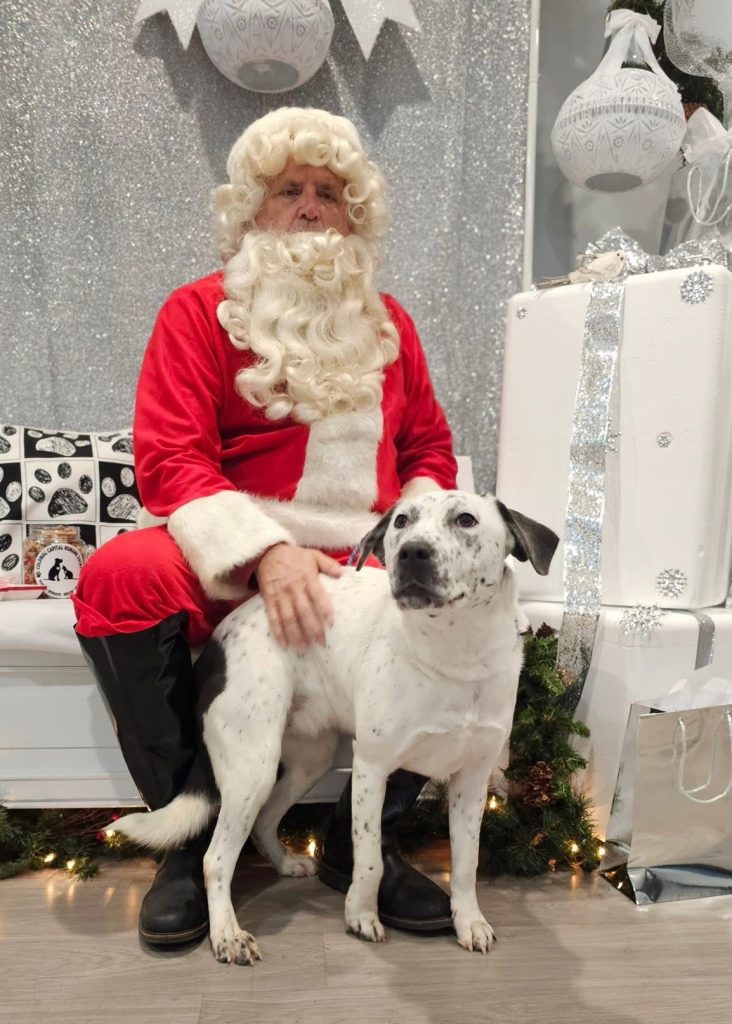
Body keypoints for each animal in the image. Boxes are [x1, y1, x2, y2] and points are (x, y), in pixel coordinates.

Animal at [112, 491, 558, 964]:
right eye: (401, 521)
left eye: (466, 520)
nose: (411, 553)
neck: (456, 651)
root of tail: (218, 640)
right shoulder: (371, 767)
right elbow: (369, 858)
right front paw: (360, 915)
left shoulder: (472, 780)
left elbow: (466, 862)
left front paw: (469, 921)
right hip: (253, 765)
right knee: (215, 858)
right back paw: (227, 934)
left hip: (310, 760)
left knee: (264, 820)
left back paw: (285, 863)